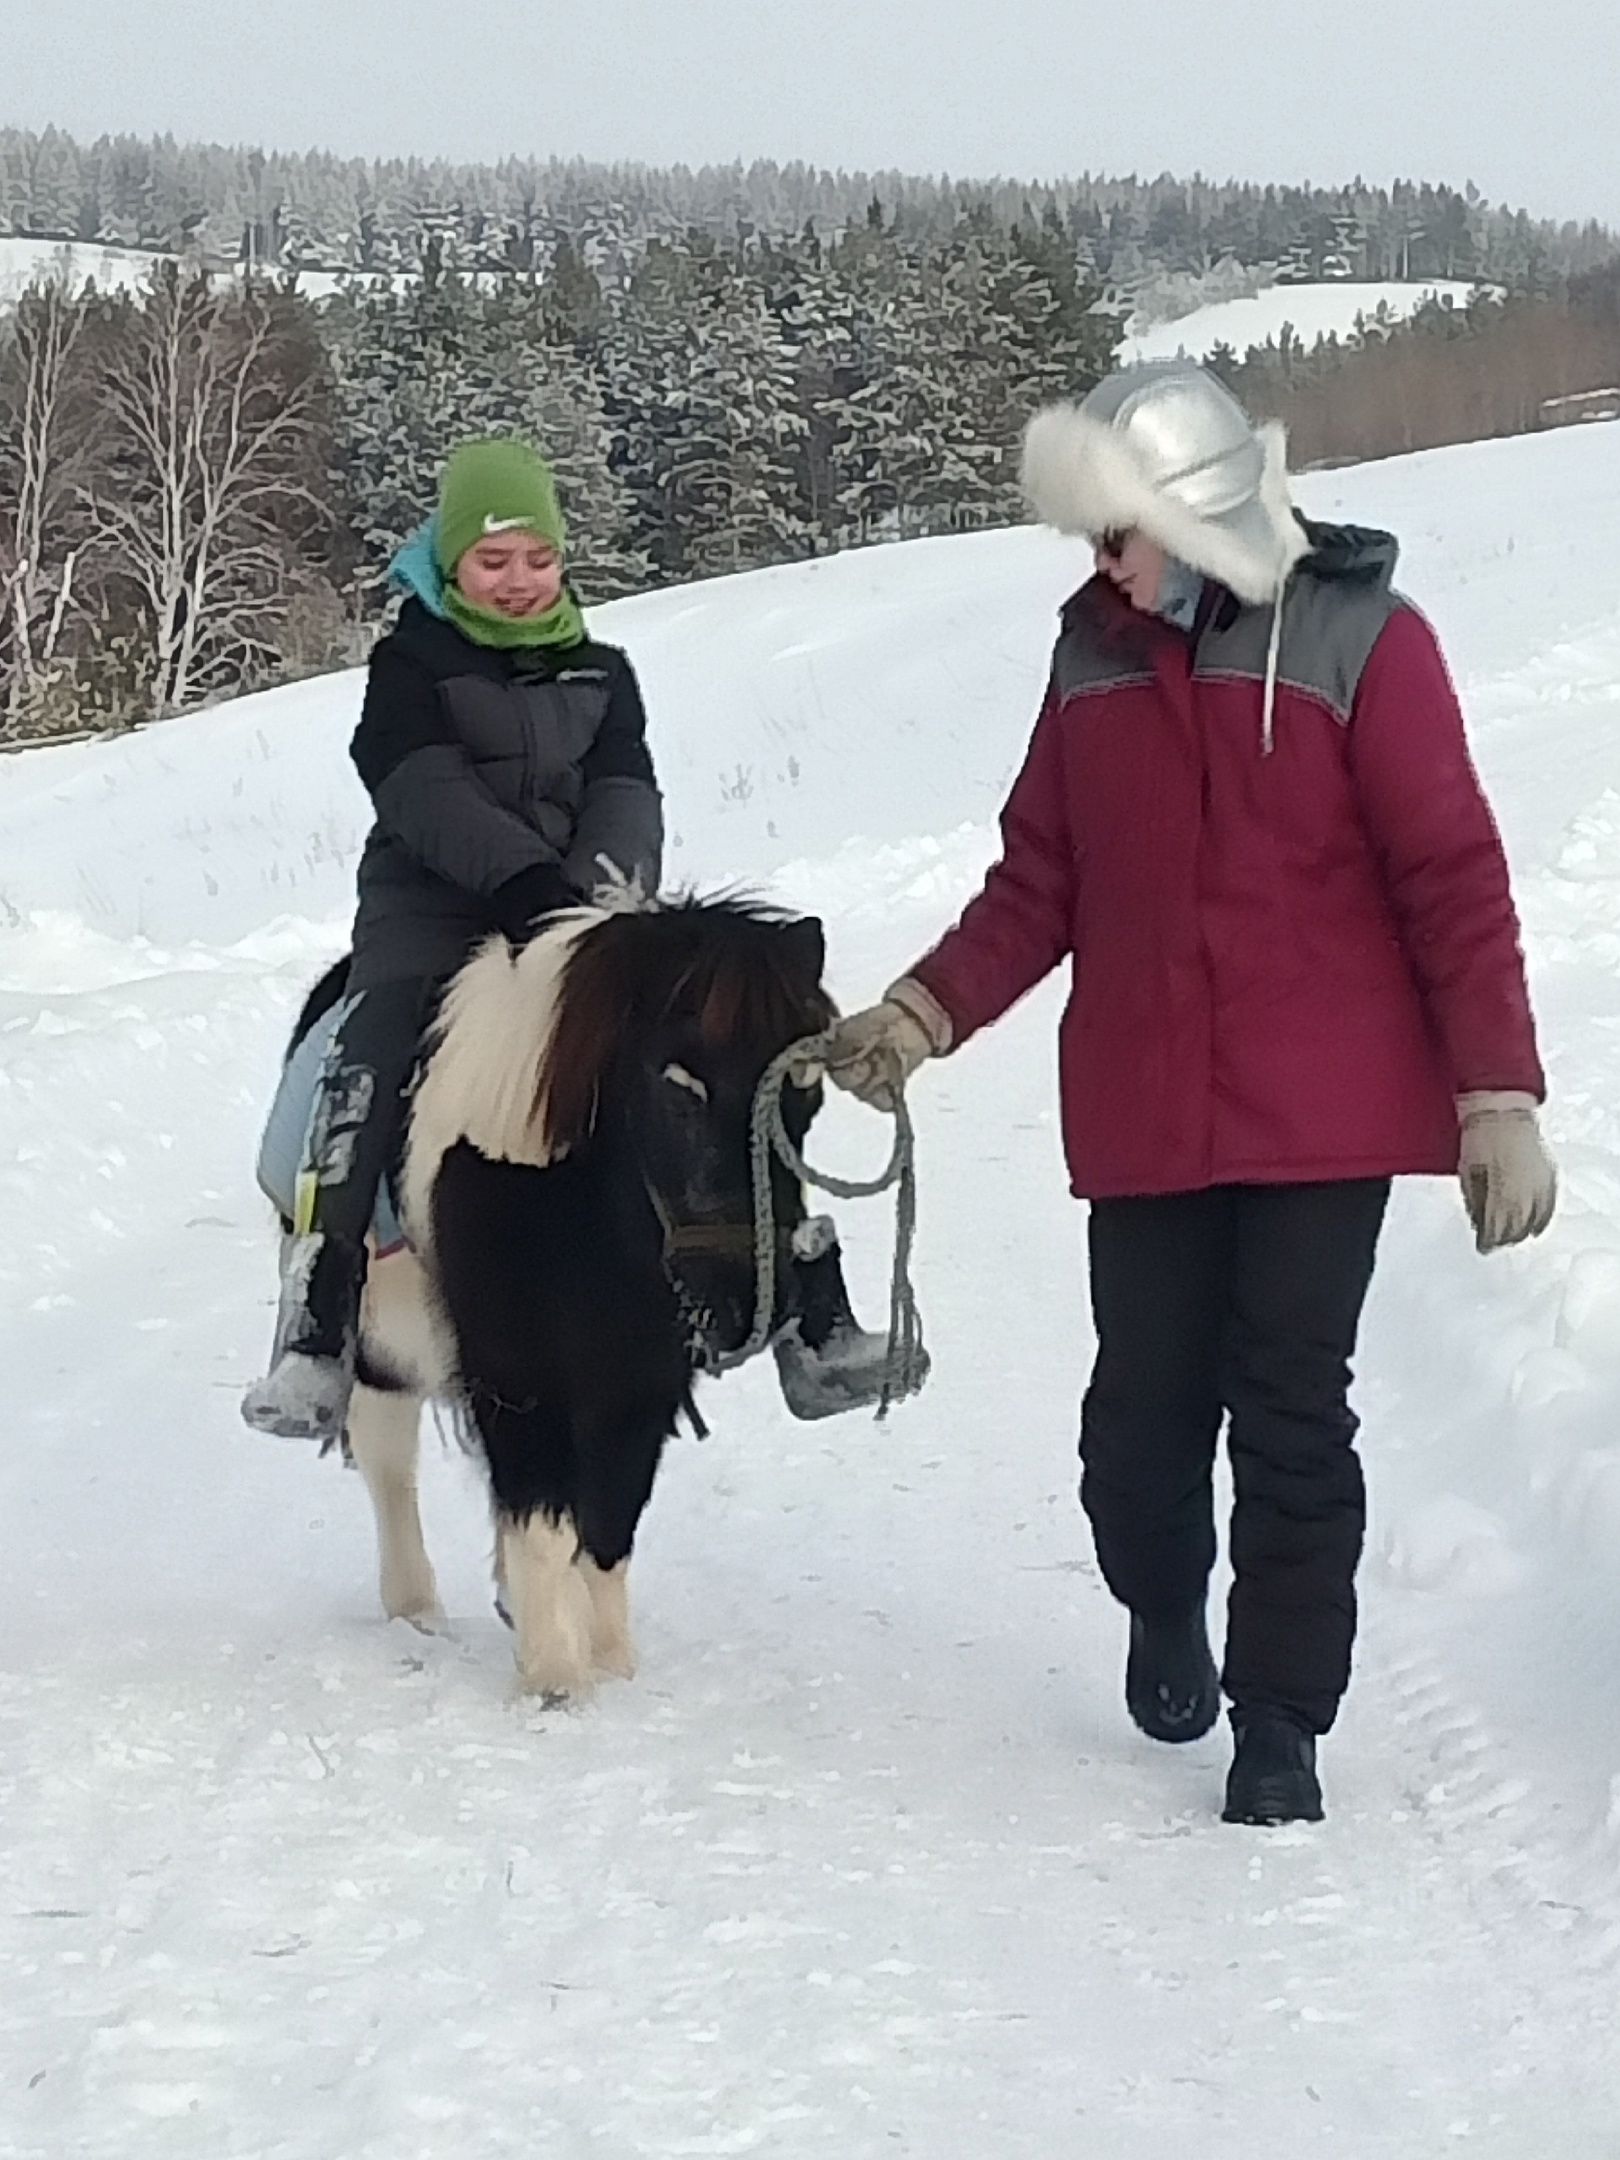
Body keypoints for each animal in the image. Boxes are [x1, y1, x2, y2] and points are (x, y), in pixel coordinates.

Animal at [282, 894, 838, 1702]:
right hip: (382, 1352)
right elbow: (543, 1520)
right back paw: (416, 1612)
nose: (746, 1304)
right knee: (391, 1463)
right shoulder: (518, 1376)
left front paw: (611, 1667)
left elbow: (607, 1523)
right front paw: (556, 1685)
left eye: (807, 1093)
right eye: (678, 1088)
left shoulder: (640, 1380)